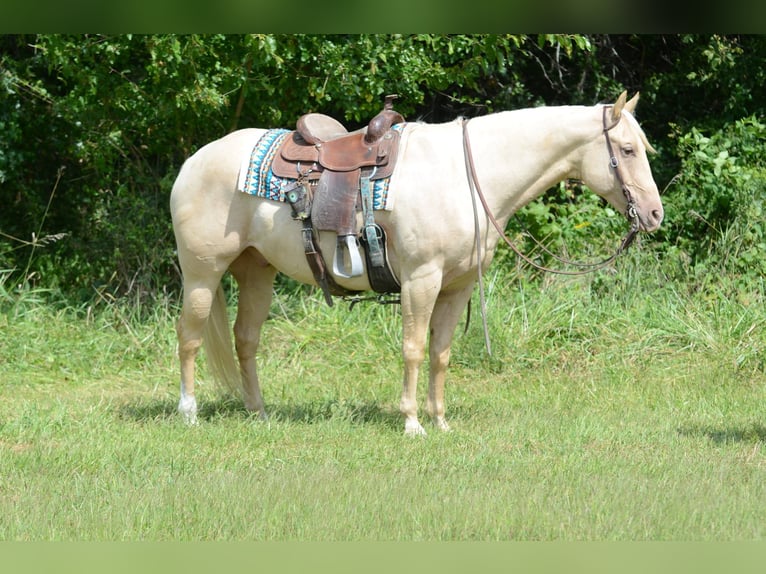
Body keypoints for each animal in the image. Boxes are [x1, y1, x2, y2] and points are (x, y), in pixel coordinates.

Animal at [170, 91, 664, 435]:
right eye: (627, 149)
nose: (655, 214)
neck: (465, 176)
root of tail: (193, 161)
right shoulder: (421, 280)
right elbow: (413, 349)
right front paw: (412, 423)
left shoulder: (457, 287)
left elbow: (441, 353)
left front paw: (440, 420)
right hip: (202, 272)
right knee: (190, 336)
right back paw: (189, 413)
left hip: (256, 271)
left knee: (245, 339)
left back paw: (259, 413)